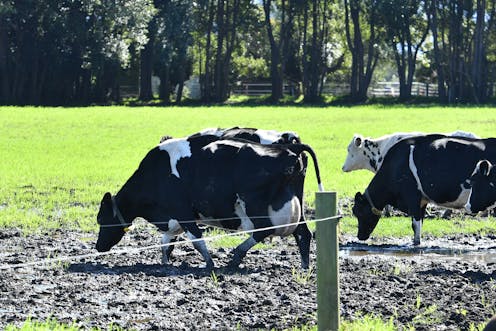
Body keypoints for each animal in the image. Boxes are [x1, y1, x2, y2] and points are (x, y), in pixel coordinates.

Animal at [97, 134, 324, 272]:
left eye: (101, 219)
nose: (98, 246)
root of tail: (289, 149)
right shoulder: (173, 218)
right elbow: (166, 243)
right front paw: (165, 264)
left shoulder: (183, 212)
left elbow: (196, 240)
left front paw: (209, 263)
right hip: (296, 205)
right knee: (303, 234)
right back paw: (305, 266)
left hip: (254, 204)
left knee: (264, 229)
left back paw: (236, 257)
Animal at [352, 134, 496, 245]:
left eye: (359, 212)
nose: (360, 236)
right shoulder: (422, 200)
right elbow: (419, 223)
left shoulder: (412, 197)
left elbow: (415, 224)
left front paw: (416, 243)